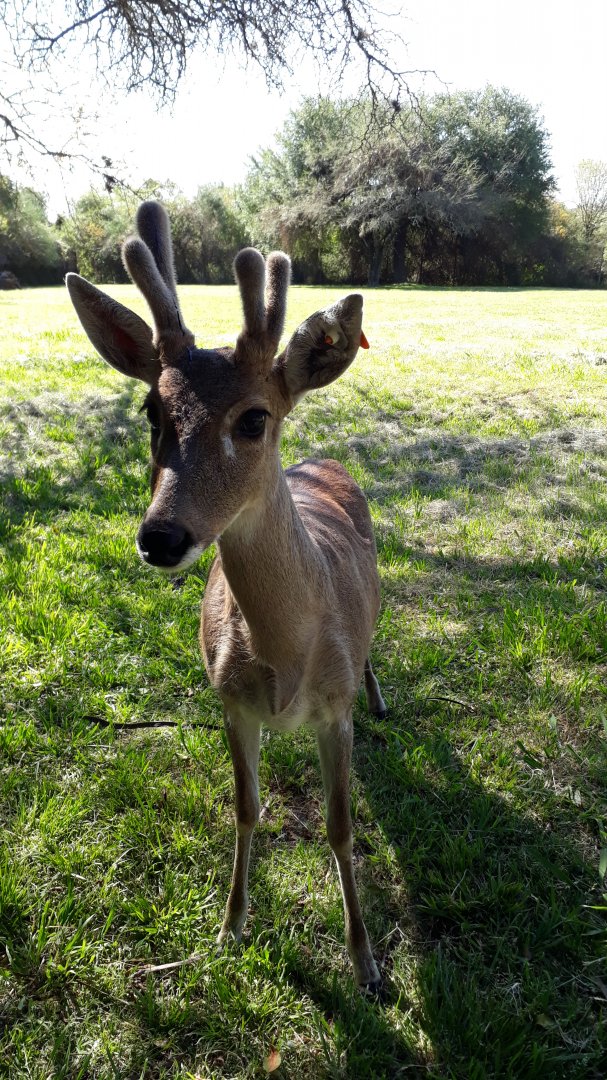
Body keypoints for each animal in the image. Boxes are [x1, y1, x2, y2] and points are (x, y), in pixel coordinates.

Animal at [66, 200, 387, 991]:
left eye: (253, 417)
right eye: (152, 411)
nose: (161, 536)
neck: (285, 662)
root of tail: (322, 460)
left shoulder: (333, 713)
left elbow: (340, 827)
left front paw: (366, 961)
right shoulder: (229, 701)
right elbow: (246, 809)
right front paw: (231, 925)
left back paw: (380, 693)